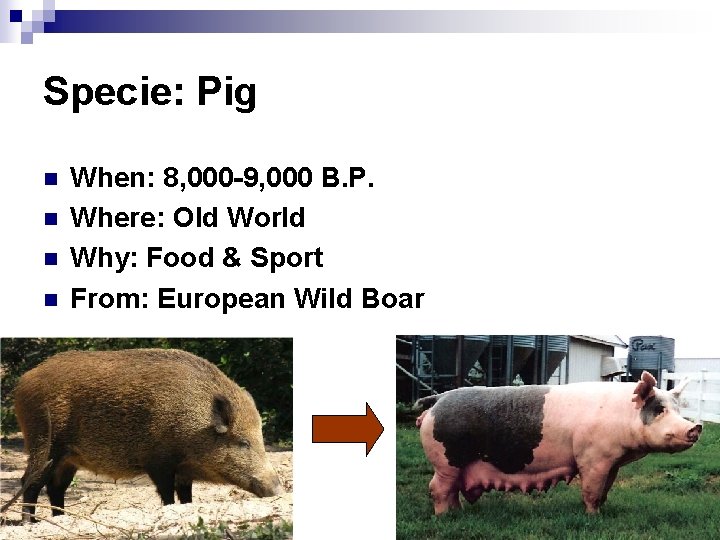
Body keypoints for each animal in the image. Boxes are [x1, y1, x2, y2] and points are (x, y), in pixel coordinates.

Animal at [13, 348, 283, 522]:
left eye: (260, 440)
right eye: (243, 442)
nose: (277, 488)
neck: (193, 423)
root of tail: (23, 381)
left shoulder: (183, 470)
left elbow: (186, 495)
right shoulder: (157, 460)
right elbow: (167, 493)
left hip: (68, 458)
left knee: (56, 486)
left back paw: (61, 519)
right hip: (43, 440)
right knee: (30, 480)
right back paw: (30, 523)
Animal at [415, 371, 702, 514]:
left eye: (678, 409)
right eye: (659, 410)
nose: (695, 427)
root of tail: (438, 400)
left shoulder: (612, 462)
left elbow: (605, 490)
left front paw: (601, 511)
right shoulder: (591, 458)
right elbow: (591, 490)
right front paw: (592, 517)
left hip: (454, 465)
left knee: (450, 489)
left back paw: (458, 512)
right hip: (446, 460)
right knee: (437, 488)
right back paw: (444, 516)